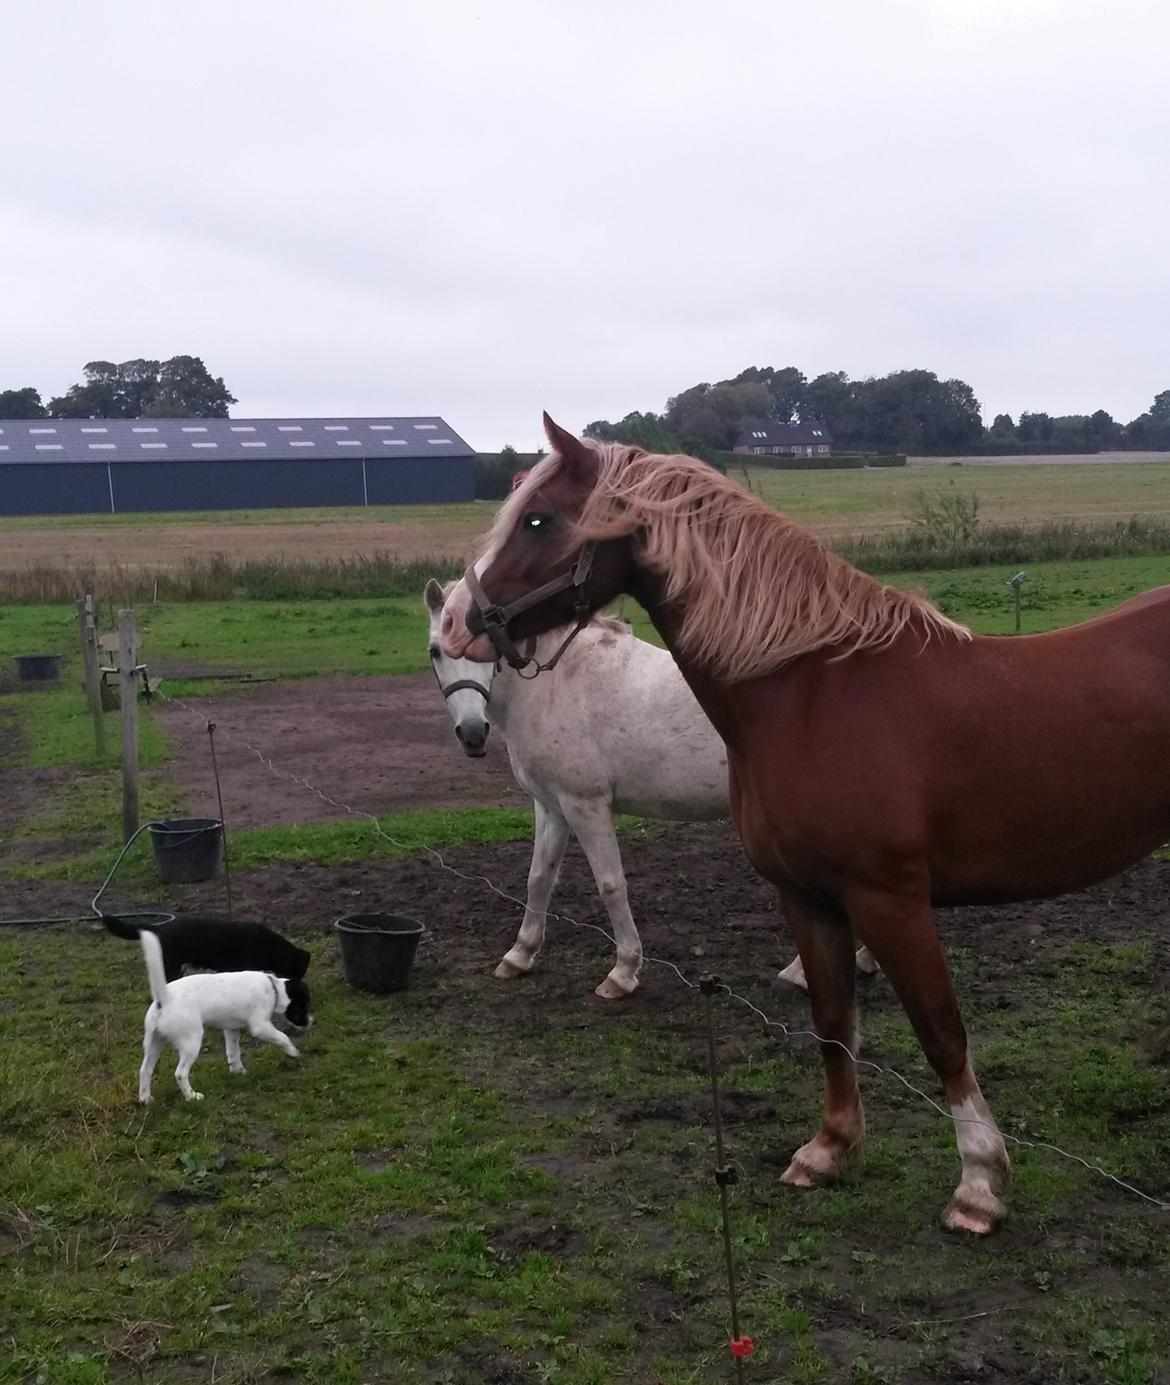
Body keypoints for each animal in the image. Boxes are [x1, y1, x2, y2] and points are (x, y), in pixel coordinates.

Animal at [137, 930, 312, 1102]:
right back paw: (192, 1096)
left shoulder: (231, 1029)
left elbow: (234, 1052)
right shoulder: (261, 1026)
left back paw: (145, 1098)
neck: (273, 988)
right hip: (191, 1041)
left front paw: (239, 1072)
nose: (311, 1022)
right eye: (303, 1006)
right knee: (180, 1073)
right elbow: (283, 1037)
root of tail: (164, 998)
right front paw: (293, 1052)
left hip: (154, 1042)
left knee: (145, 1069)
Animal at [440, 412, 1168, 1235]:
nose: (461, 622)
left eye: (537, 518)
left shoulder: (890, 902)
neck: (813, 693)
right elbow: (831, 1023)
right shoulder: (809, 899)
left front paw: (979, 1184)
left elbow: (941, 1032)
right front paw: (829, 1150)